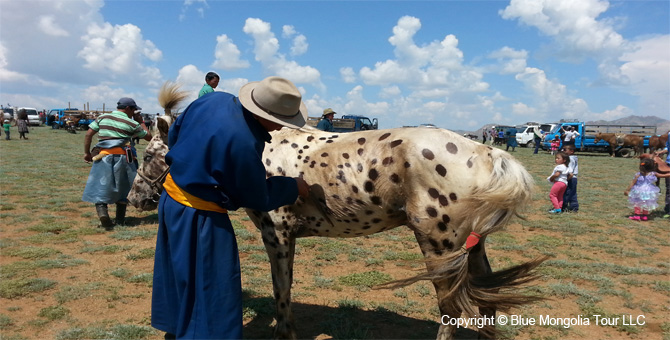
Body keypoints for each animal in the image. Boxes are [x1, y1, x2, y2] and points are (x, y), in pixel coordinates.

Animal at [129, 83, 548, 338]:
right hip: (470, 248)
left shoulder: (276, 235)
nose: (135, 200)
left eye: (149, 155)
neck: (263, 150)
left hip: (440, 248)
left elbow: (281, 289)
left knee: (452, 307)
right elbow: (285, 287)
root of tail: (485, 150)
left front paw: (284, 332)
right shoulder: (285, 238)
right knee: (485, 303)